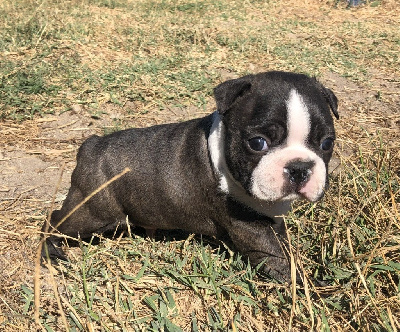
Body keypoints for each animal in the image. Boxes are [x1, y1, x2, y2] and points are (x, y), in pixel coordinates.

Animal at [43, 71, 338, 282]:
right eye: (257, 143)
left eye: (327, 144)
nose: (299, 167)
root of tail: (90, 145)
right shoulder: (249, 228)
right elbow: (277, 258)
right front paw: (309, 286)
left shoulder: (271, 220)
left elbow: (283, 245)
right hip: (92, 212)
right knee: (55, 221)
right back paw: (51, 250)